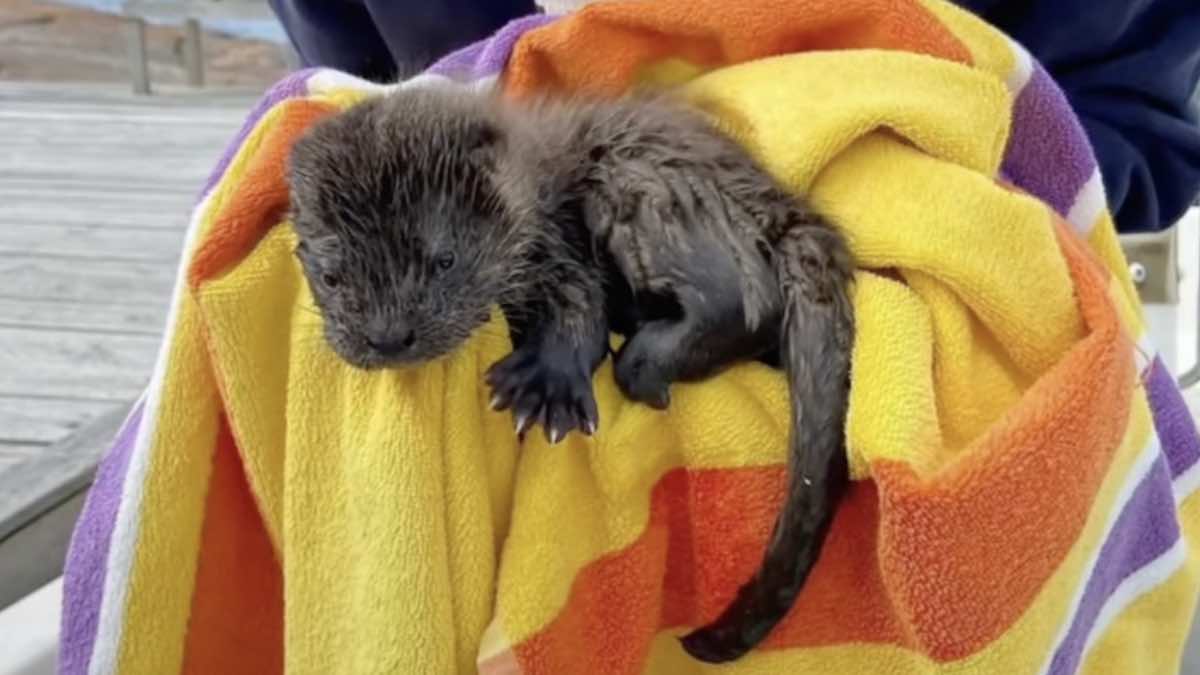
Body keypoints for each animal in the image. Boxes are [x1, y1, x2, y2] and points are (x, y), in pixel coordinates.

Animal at [287, 84, 854, 664]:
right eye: (331, 277)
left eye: (445, 258)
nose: (388, 336)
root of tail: (785, 210)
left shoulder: (555, 235)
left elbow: (580, 302)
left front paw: (545, 388)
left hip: (643, 182)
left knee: (741, 300)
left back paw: (644, 360)